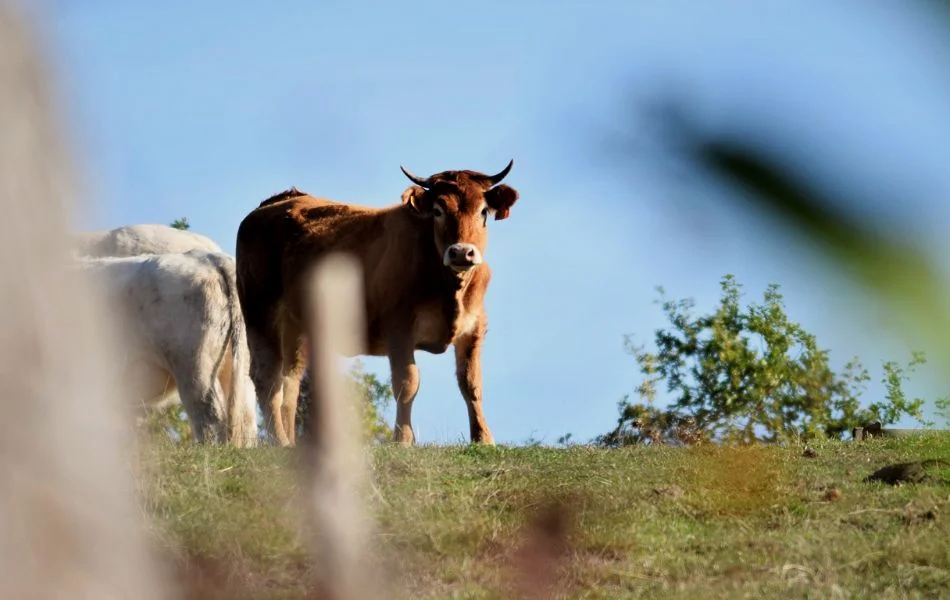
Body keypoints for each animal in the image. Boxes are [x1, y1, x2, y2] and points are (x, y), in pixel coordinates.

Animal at [235, 160, 520, 447]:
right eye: (438, 211)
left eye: (483, 212)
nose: (461, 252)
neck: (450, 289)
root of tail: (276, 203)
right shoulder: (398, 327)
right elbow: (407, 382)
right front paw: (403, 439)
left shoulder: (474, 328)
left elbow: (471, 383)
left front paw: (483, 437)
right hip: (260, 313)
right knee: (268, 378)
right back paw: (280, 441)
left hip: (296, 326)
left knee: (289, 379)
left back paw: (291, 442)